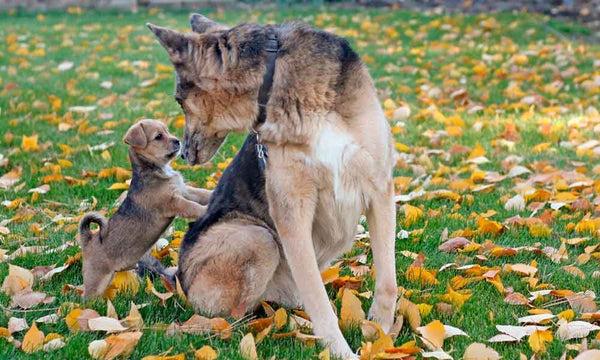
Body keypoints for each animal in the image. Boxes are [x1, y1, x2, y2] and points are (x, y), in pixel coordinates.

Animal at [77, 119, 212, 300]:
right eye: (159, 137)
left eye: (167, 131)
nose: (178, 141)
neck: (156, 170)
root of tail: (89, 239)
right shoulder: (174, 203)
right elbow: (193, 206)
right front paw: (205, 210)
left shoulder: (184, 191)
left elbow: (203, 194)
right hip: (97, 279)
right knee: (86, 299)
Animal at [147, 14, 396, 358]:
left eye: (179, 101)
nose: (183, 154)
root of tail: (177, 277)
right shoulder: (292, 211)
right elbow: (318, 300)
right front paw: (340, 351)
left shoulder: (379, 189)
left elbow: (388, 280)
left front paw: (381, 330)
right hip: (257, 237)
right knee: (231, 318)